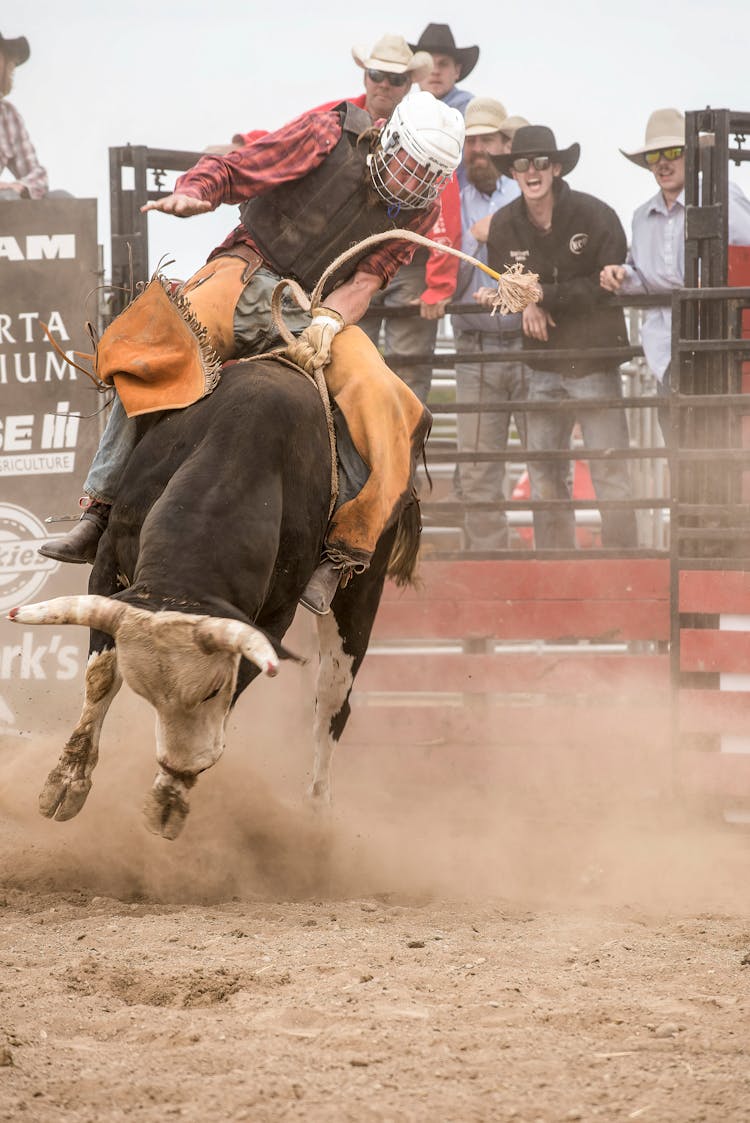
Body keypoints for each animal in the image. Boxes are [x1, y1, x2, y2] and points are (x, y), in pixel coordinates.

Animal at [7, 354, 422, 840]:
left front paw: (169, 797)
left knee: (332, 701)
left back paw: (317, 813)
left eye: (212, 690)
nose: (176, 766)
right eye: (150, 695)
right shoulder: (108, 570)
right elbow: (102, 676)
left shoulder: (272, 620)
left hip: (360, 591)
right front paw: (66, 781)